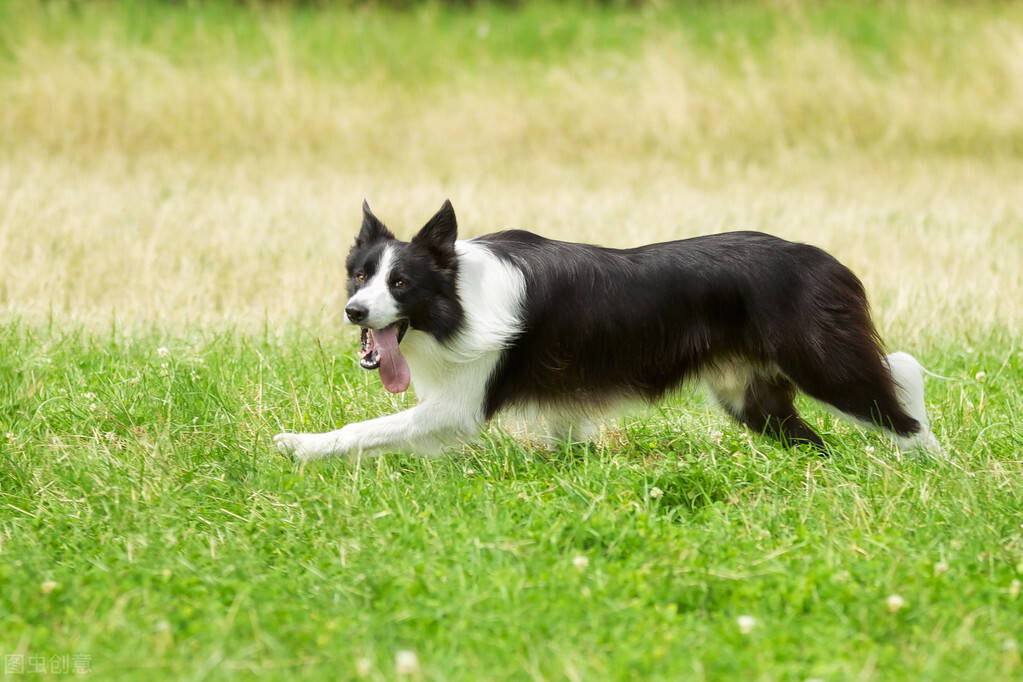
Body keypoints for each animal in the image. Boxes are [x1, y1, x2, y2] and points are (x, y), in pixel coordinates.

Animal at [274, 200, 941, 462]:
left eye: (402, 283)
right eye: (360, 276)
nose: (354, 312)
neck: (456, 297)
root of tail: (830, 263)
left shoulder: (458, 407)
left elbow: (366, 427)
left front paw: (300, 445)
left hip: (826, 364)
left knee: (901, 407)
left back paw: (932, 468)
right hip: (752, 400)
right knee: (820, 439)